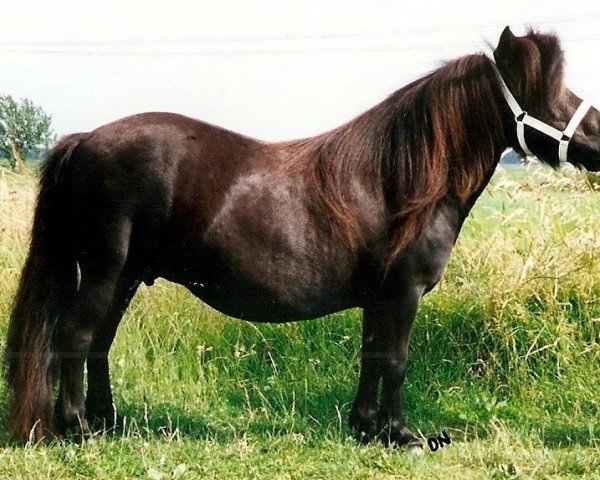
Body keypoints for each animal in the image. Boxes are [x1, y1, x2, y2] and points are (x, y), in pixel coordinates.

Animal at [4, 27, 600, 450]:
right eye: (547, 91)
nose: (597, 136)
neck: (399, 180)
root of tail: (85, 140)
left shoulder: (379, 298)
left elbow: (372, 356)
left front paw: (367, 427)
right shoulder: (402, 293)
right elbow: (396, 359)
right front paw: (402, 435)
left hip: (126, 276)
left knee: (99, 343)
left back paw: (110, 423)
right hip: (104, 271)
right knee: (76, 337)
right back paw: (78, 428)